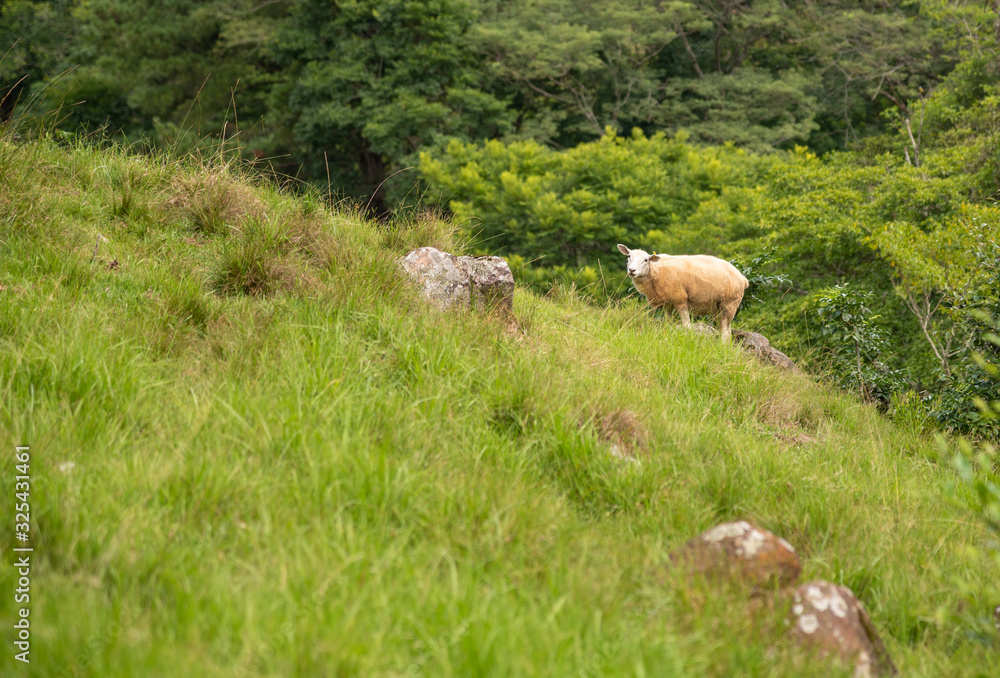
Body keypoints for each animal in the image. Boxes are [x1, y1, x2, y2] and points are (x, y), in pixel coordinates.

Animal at [617, 243, 749, 341]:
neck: (655, 272)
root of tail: (743, 278)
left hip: (730, 304)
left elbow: (687, 326)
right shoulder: (667, 304)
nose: (632, 270)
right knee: (727, 330)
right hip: (720, 308)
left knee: (725, 333)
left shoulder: (680, 300)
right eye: (628, 257)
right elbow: (668, 324)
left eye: (645, 260)